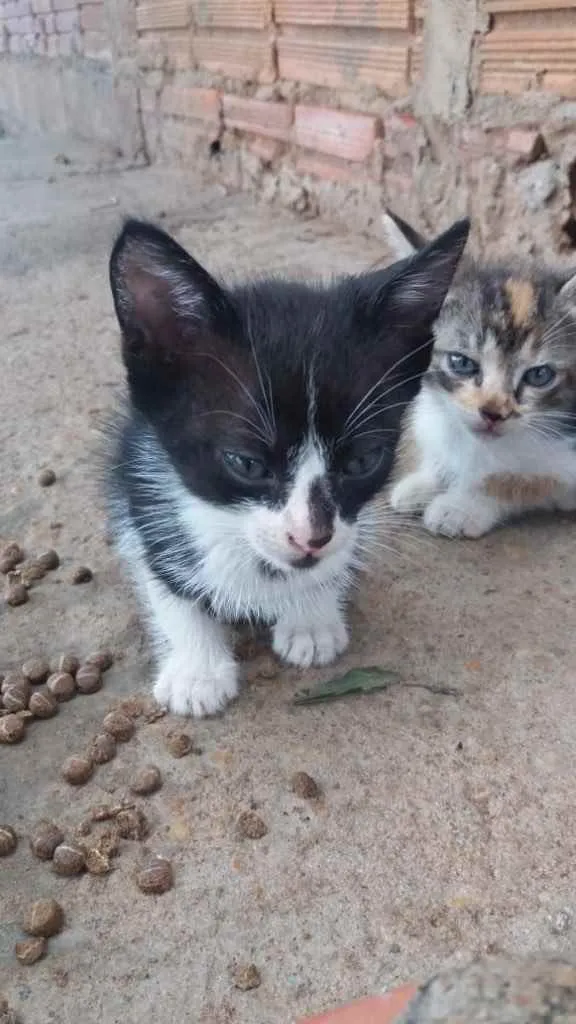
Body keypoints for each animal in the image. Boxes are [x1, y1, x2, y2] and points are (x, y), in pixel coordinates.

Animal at [106, 216, 467, 716]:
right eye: (246, 464)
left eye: (363, 460)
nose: (311, 537)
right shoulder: (139, 477)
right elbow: (160, 567)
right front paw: (197, 668)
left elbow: (337, 557)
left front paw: (310, 618)